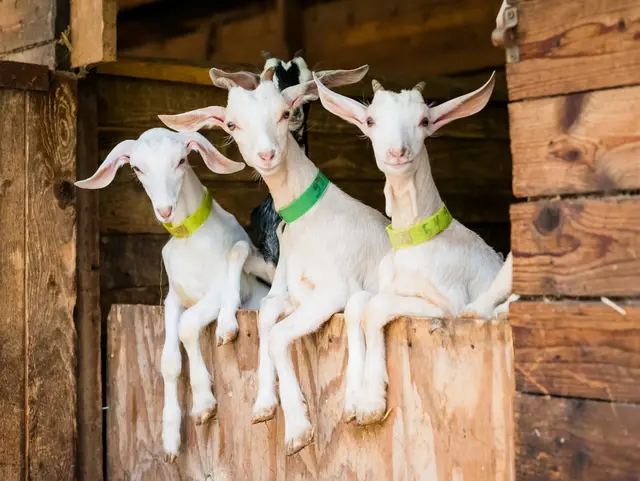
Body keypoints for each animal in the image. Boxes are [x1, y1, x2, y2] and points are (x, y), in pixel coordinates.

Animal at [74, 128, 273, 462]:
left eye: (181, 160)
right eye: (137, 168)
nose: (165, 210)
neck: (190, 239)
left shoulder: (230, 289)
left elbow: (188, 325)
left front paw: (204, 403)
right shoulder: (173, 298)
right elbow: (168, 359)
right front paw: (169, 439)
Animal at [159, 65, 391, 455]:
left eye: (284, 112)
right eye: (232, 124)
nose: (267, 154)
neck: (311, 218)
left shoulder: (335, 290)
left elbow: (281, 334)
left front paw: (297, 428)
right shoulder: (293, 292)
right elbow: (267, 317)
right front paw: (265, 404)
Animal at [314, 72, 517, 425]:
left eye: (424, 121)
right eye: (370, 120)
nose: (397, 152)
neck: (416, 240)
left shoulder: (446, 303)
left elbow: (375, 309)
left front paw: (371, 402)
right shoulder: (383, 285)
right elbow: (357, 304)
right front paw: (354, 397)